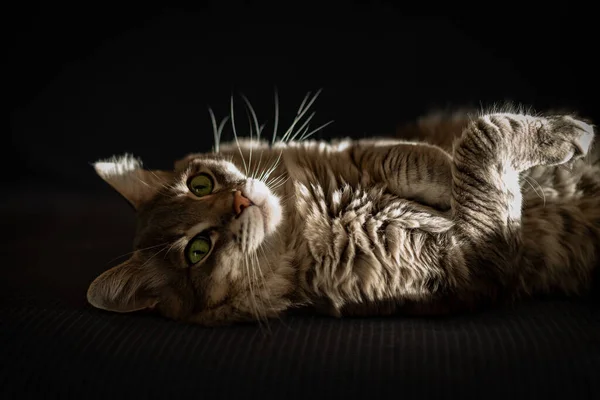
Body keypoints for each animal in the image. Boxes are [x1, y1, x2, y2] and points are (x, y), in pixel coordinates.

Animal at [86, 95, 596, 326]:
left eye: (200, 184)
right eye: (198, 250)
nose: (240, 201)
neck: (305, 220)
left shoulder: (353, 151)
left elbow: (403, 156)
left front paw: (442, 170)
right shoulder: (477, 262)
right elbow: (483, 137)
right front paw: (563, 135)